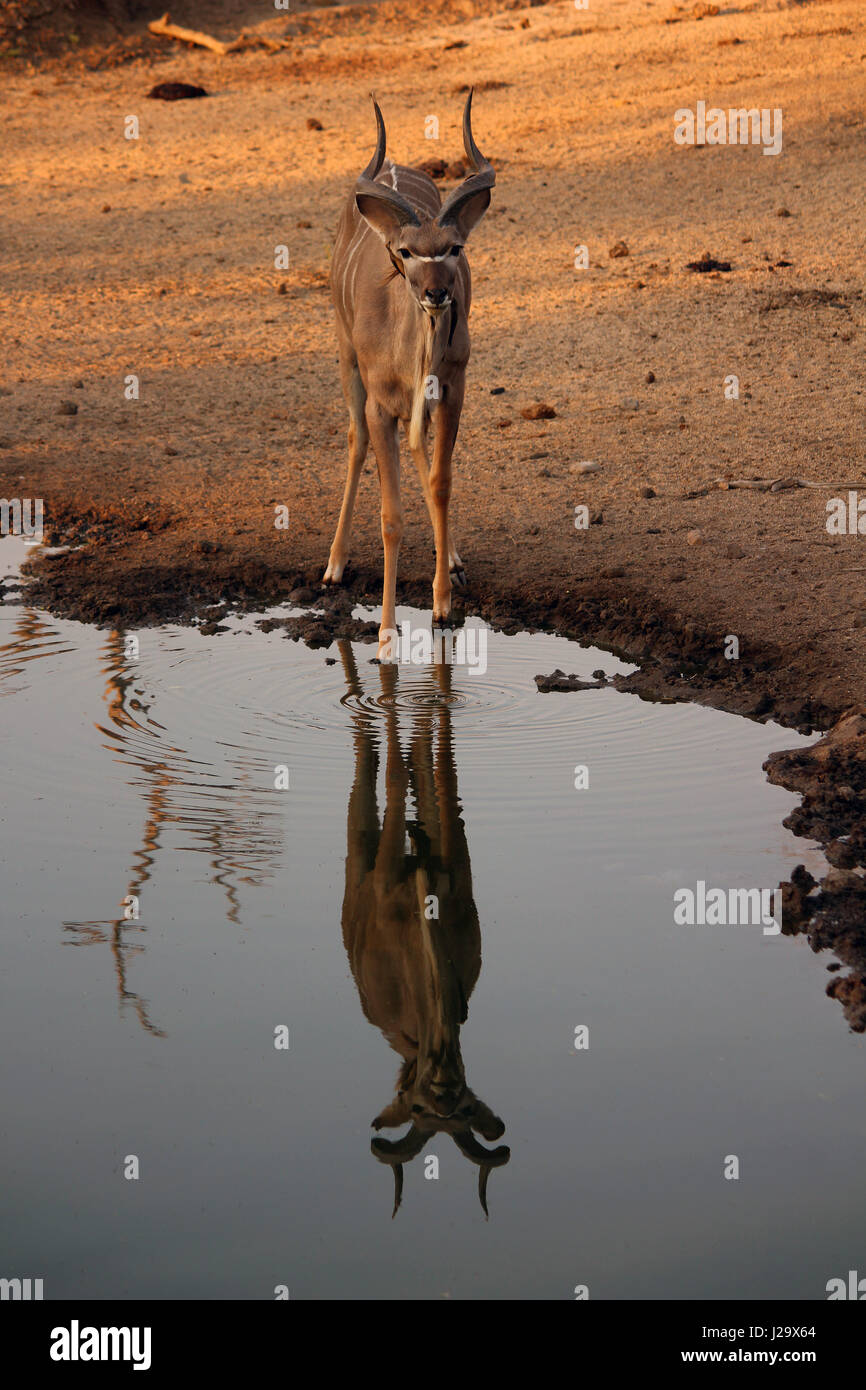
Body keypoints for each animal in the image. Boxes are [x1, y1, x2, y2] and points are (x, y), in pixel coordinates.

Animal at [325, 93, 497, 656]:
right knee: (355, 440)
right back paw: (334, 564)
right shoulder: (380, 406)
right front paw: (384, 632)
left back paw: (454, 559)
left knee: (421, 452)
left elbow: (440, 480)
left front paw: (443, 601)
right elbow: (391, 518)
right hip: (346, 360)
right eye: (406, 252)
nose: (437, 293)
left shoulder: (453, 390)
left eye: (455, 247)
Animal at [337, 642, 508, 1217]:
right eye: (417, 1109)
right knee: (368, 765)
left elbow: (441, 775)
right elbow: (394, 773)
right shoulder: (389, 867)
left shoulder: (455, 865)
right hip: (358, 850)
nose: (443, 1087)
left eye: (466, 1108)